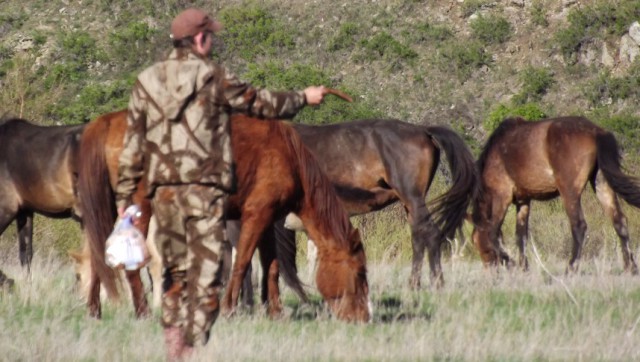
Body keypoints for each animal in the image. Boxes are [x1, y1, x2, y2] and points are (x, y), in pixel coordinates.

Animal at [76, 110, 370, 322]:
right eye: (359, 273)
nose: (364, 318)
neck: (287, 153)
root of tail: (106, 122)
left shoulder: (268, 220)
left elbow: (272, 265)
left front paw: (275, 311)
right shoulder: (256, 215)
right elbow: (242, 262)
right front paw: (229, 308)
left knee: (96, 256)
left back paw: (93, 311)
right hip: (138, 209)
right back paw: (143, 312)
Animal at [470, 114, 640, 272]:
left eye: (477, 243)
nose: (491, 272)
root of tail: (597, 132)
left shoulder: (501, 196)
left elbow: (493, 232)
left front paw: (510, 261)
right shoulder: (523, 200)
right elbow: (521, 236)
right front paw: (524, 268)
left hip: (569, 192)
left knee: (579, 226)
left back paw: (571, 268)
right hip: (601, 183)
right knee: (619, 221)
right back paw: (630, 267)